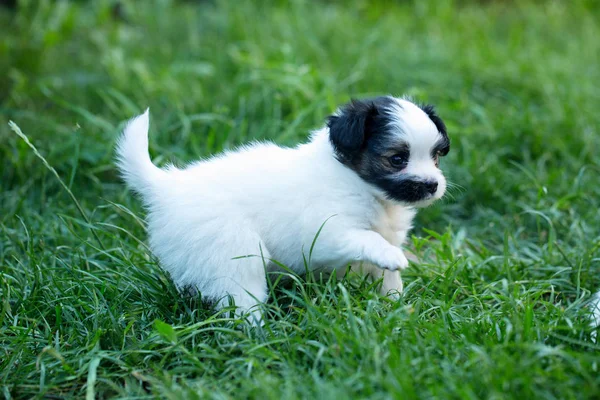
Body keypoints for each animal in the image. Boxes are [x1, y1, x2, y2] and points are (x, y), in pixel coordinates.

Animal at [116, 95, 450, 320]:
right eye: (397, 159)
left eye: (436, 156)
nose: (433, 185)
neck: (359, 184)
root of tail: (167, 186)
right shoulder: (325, 232)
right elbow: (366, 239)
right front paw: (392, 258)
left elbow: (388, 279)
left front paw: (398, 308)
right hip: (235, 252)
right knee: (241, 297)